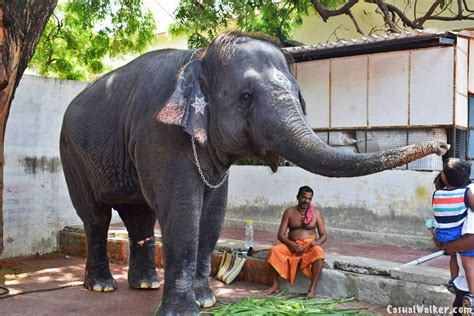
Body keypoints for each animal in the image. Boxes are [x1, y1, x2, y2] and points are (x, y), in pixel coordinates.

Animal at [61, 31, 450, 314]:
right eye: (245, 96)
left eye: (298, 96)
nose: (444, 149)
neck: (198, 56)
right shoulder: (160, 135)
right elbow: (184, 212)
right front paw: (183, 312)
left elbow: (213, 213)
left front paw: (207, 301)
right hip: (71, 154)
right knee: (96, 216)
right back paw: (102, 286)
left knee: (138, 215)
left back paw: (145, 284)